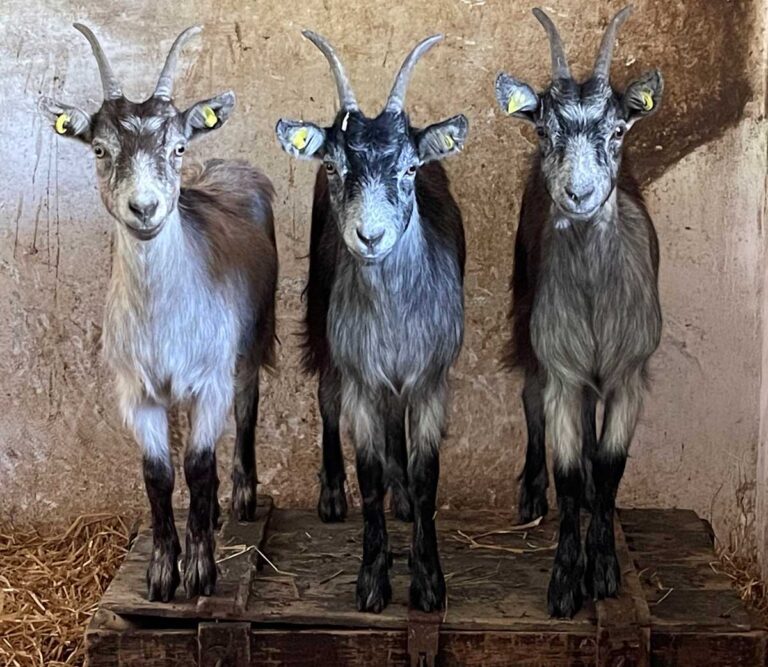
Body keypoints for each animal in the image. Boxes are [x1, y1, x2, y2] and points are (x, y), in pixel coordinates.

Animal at [40, 25, 278, 602]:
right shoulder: (135, 389)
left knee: (246, 405)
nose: (144, 208)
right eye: (100, 149)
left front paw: (201, 572)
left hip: (250, 339)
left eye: (178, 146)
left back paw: (241, 499)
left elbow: (198, 465)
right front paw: (162, 572)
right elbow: (158, 474)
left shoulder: (210, 377)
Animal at [276, 32, 468, 613]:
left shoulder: (431, 378)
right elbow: (369, 471)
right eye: (334, 167)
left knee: (393, 420)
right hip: (322, 314)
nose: (369, 236)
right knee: (326, 396)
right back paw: (332, 494)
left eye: (409, 169)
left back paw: (401, 498)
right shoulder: (360, 371)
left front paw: (428, 582)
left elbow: (427, 476)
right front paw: (372, 581)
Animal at [494, 7, 663, 617]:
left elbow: (611, 468)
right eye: (545, 130)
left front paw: (605, 569)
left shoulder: (630, 373)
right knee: (529, 396)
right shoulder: (562, 369)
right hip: (526, 309)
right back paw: (529, 492)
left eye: (616, 131)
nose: (579, 194)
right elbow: (565, 470)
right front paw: (566, 582)